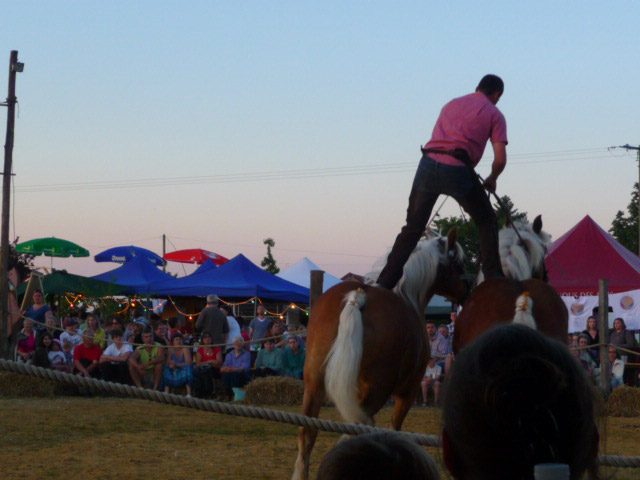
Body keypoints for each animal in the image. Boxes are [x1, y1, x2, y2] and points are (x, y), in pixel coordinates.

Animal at [292, 230, 468, 480]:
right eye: (459, 264)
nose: (468, 289)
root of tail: (356, 299)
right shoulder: (408, 392)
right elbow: (395, 428)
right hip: (377, 391)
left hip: (314, 383)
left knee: (307, 434)